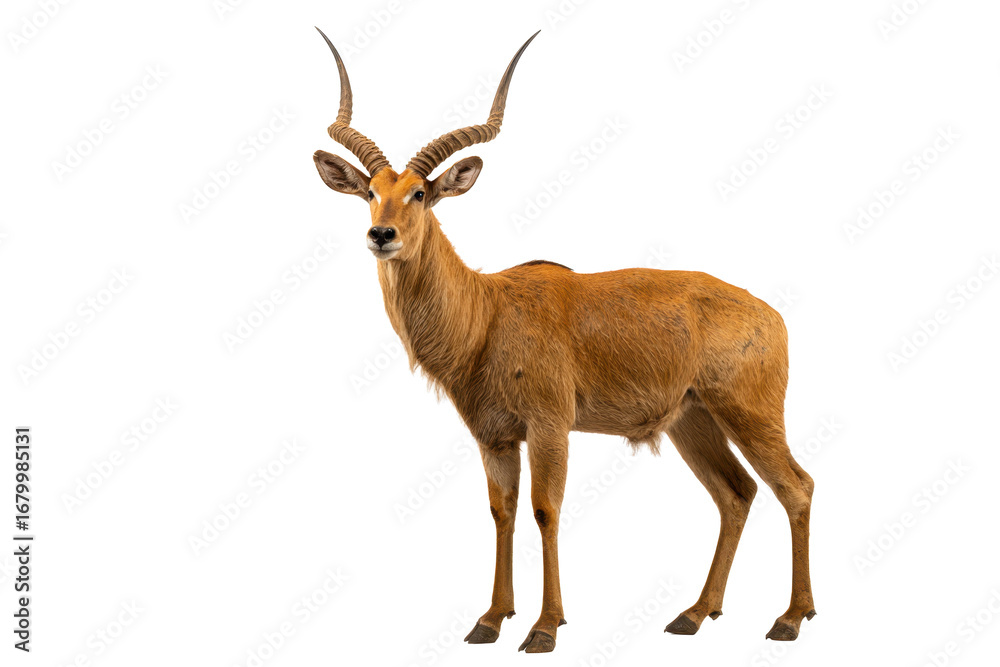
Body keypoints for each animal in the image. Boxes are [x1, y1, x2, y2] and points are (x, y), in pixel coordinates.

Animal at [311, 28, 816, 653]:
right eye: (370, 192)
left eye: (421, 193)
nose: (382, 235)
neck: (488, 313)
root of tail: (772, 316)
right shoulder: (495, 436)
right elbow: (501, 511)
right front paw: (489, 620)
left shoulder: (550, 426)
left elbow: (545, 510)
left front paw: (544, 628)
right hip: (693, 422)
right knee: (737, 494)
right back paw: (695, 614)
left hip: (750, 414)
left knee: (796, 487)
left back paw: (789, 619)